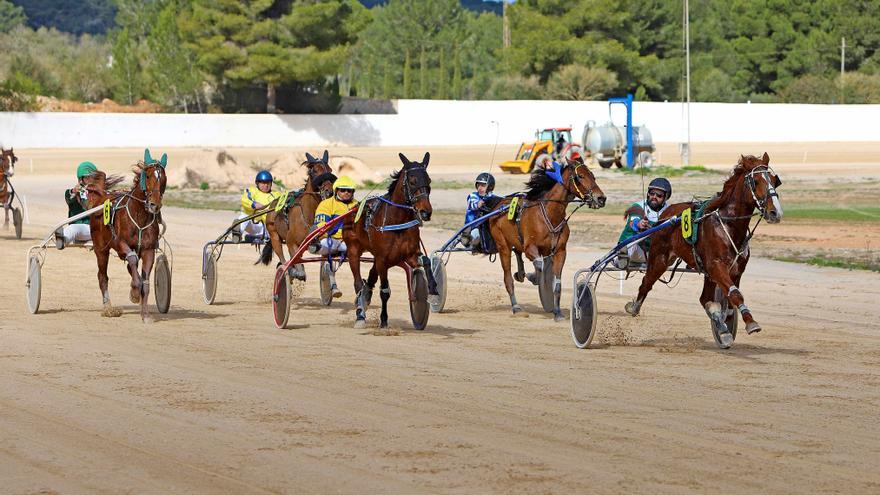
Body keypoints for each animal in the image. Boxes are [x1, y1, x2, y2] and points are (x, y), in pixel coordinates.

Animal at [86, 149, 168, 324]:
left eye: (163, 178)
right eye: (148, 176)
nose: (154, 205)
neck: (139, 216)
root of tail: (102, 197)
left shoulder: (148, 250)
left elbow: (145, 282)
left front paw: (145, 315)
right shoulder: (120, 244)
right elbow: (131, 260)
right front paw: (135, 293)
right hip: (101, 249)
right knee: (103, 276)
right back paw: (108, 308)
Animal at [260, 149, 336, 280]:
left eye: (330, 170)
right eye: (315, 171)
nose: (329, 192)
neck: (308, 215)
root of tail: (274, 203)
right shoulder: (291, 242)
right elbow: (298, 269)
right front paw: (296, 272)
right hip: (273, 234)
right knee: (281, 255)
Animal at [346, 151, 438, 330]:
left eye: (429, 180)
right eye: (412, 181)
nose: (426, 212)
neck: (396, 221)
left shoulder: (410, 254)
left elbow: (426, 260)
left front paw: (433, 290)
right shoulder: (383, 259)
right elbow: (385, 291)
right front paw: (383, 320)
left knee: (370, 277)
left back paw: (366, 297)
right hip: (353, 250)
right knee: (357, 283)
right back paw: (360, 313)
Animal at [488, 158, 604, 322]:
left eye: (593, 176)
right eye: (580, 176)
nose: (601, 198)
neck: (551, 214)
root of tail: (498, 206)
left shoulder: (560, 252)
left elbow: (557, 284)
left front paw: (557, 312)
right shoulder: (530, 248)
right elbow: (540, 264)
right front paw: (534, 277)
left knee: (518, 254)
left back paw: (521, 274)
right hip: (503, 246)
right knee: (508, 278)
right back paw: (516, 307)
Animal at [624, 153, 784, 346]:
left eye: (774, 181)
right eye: (755, 181)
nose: (775, 212)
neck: (729, 225)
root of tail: (664, 216)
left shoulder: (735, 270)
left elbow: (729, 300)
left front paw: (726, 326)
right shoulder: (716, 265)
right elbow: (736, 295)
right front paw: (751, 323)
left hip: (705, 272)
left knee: (704, 299)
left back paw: (721, 328)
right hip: (659, 258)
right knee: (646, 283)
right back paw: (634, 307)